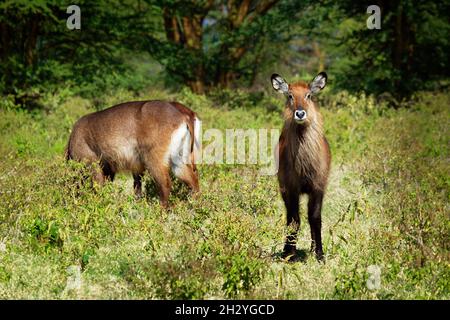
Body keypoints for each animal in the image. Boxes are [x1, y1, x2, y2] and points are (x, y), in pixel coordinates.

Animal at [66, 100, 200, 208]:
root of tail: (184, 115)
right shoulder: (120, 168)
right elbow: (136, 188)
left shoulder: (93, 164)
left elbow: (98, 187)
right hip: (178, 159)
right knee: (194, 181)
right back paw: (194, 207)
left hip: (153, 159)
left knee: (165, 184)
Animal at [270, 72, 330, 260]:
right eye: (290, 95)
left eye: (308, 95)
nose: (300, 113)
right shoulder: (290, 188)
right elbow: (294, 219)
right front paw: (289, 253)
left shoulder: (318, 187)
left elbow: (315, 218)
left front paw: (319, 253)